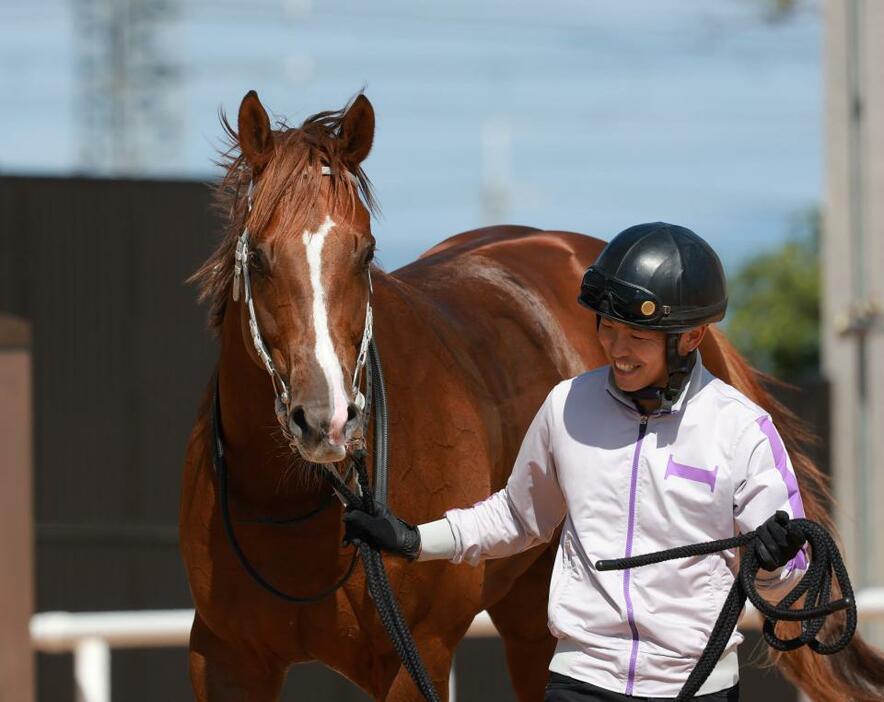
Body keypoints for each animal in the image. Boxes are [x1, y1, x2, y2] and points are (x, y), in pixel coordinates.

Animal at [180, 93, 884, 702]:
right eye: (259, 256)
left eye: (365, 252)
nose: (328, 421)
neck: (293, 501)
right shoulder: (225, 657)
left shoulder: (414, 657)